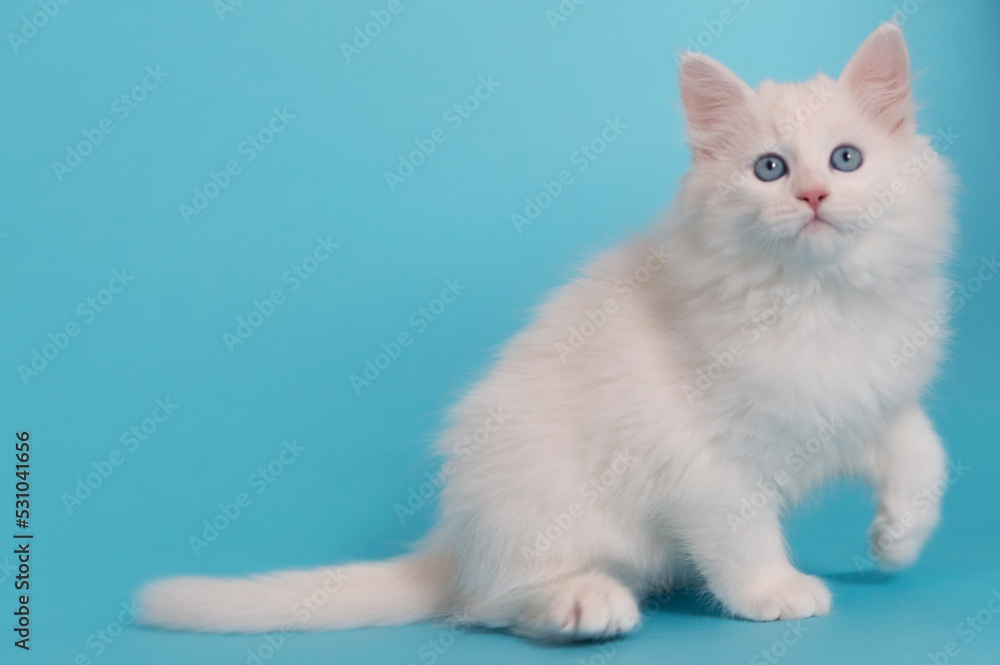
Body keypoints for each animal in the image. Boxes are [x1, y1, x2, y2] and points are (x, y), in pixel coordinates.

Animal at [139, 23, 952, 640]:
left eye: (845, 159)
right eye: (770, 169)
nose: (812, 195)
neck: (818, 299)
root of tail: (455, 538)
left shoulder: (866, 401)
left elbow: (924, 452)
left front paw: (898, 538)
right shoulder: (707, 464)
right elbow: (742, 534)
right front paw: (774, 592)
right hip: (543, 501)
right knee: (491, 603)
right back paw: (583, 604)